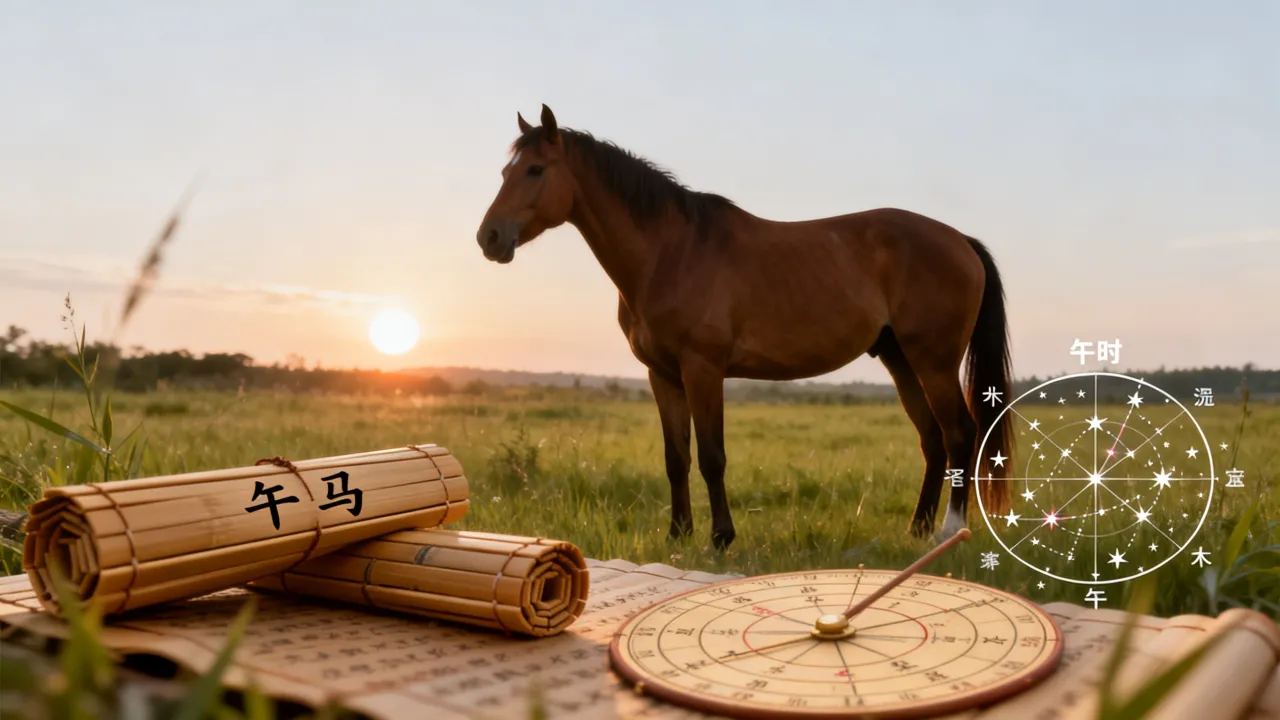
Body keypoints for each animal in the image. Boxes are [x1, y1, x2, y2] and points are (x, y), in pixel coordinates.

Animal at [475, 104, 1014, 550]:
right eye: (506, 171)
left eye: (536, 169)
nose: (489, 237)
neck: (671, 253)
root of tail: (961, 240)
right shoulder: (662, 375)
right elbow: (676, 458)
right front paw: (678, 534)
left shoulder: (703, 369)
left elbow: (712, 456)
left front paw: (720, 537)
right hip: (900, 359)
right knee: (933, 439)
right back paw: (916, 529)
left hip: (933, 361)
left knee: (961, 434)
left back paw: (947, 530)